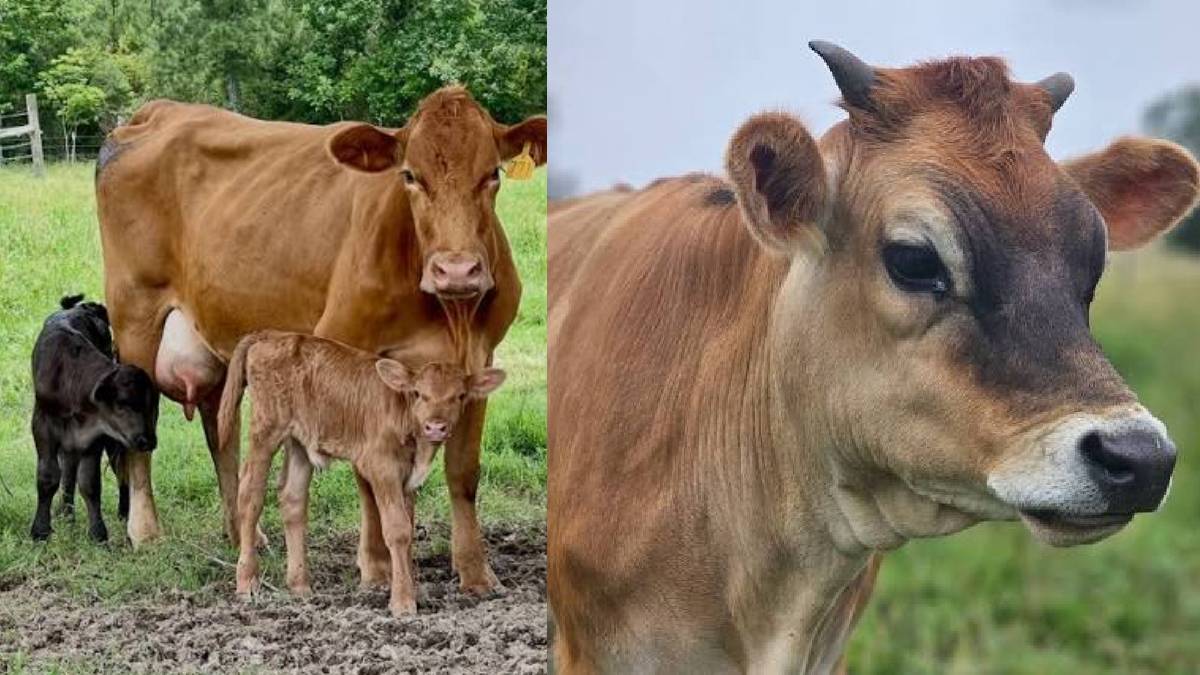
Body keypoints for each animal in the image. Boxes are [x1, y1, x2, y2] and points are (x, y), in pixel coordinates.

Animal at [30, 295, 160, 543]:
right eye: (123, 403)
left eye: (153, 407)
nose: (148, 441)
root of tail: (81, 306)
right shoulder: (42, 425)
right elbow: (48, 476)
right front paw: (40, 531)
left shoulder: (95, 435)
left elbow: (90, 483)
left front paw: (98, 534)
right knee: (68, 469)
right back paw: (66, 513)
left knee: (118, 468)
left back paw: (122, 511)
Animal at [218, 331, 505, 615]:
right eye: (418, 393)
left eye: (460, 395)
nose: (435, 427)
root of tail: (270, 335)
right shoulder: (381, 467)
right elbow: (398, 530)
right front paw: (402, 601)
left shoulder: (407, 479)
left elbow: (408, 528)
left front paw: (409, 589)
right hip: (265, 429)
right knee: (250, 495)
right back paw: (247, 581)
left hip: (300, 441)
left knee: (293, 499)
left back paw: (300, 585)